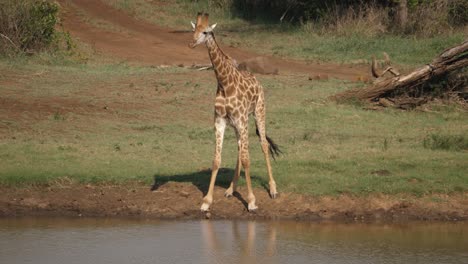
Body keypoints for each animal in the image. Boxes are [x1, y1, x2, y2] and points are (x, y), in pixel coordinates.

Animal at [187, 13, 282, 213]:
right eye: (194, 29)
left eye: (206, 32)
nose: (191, 43)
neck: (224, 83)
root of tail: (258, 81)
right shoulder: (220, 121)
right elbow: (216, 160)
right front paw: (206, 202)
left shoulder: (241, 120)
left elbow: (247, 159)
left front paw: (252, 201)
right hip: (240, 123)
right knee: (240, 148)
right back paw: (231, 189)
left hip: (258, 113)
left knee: (263, 145)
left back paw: (273, 189)